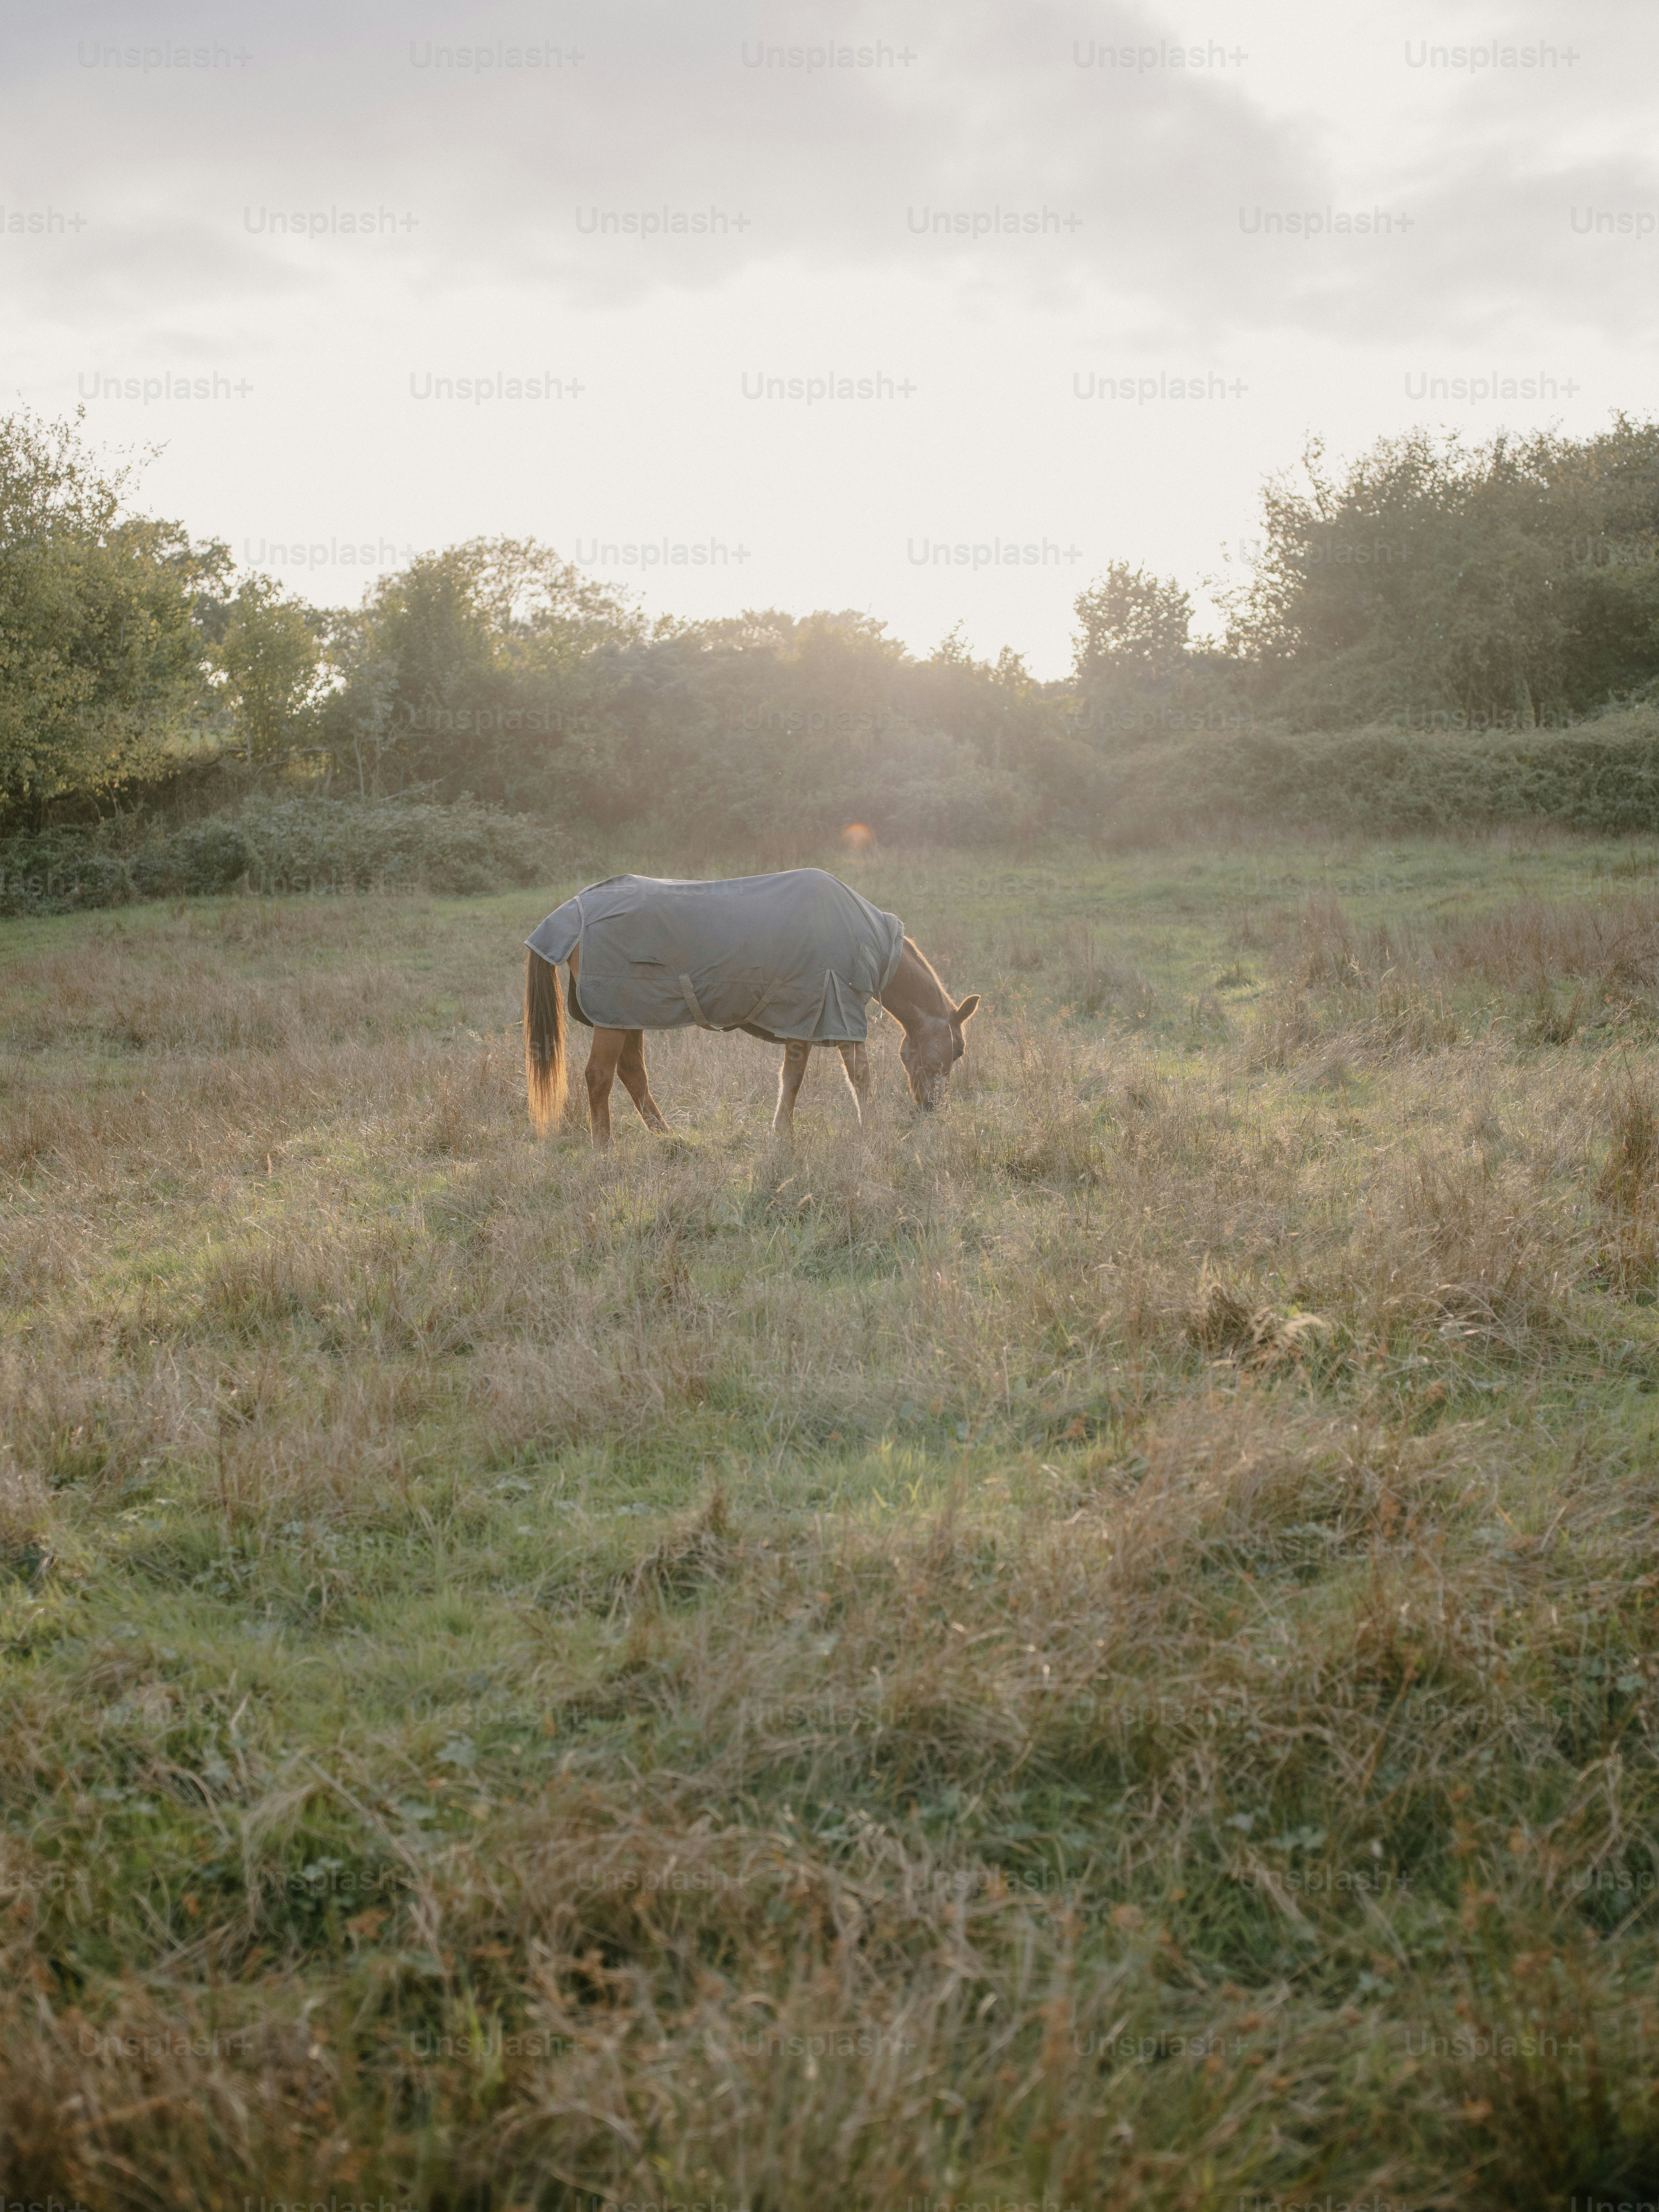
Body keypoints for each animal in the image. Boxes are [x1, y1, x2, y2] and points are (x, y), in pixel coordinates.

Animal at [522, 868, 979, 1145]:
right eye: (957, 1051)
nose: (933, 1110)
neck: (865, 941)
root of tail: (571, 912)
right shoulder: (836, 1010)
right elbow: (859, 1078)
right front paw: (873, 1131)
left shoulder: (807, 1016)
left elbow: (791, 1079)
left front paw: (782, 1135)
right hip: (614, 1016)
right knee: (599, 1077)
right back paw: (605, 1149)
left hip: (626, 1014)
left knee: (633, 1074)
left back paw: (668, 1138)